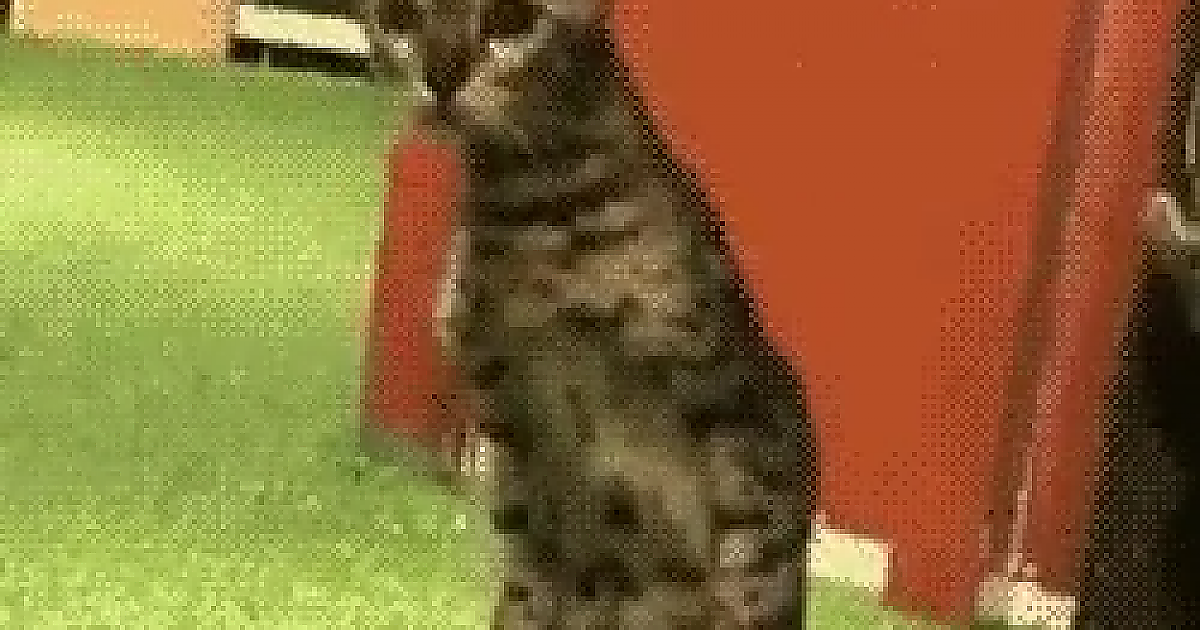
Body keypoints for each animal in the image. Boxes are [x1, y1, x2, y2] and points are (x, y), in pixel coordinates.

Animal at [360, 1, 819, 627]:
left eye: (511, 20)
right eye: (399, 16)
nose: (442, 77)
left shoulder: (737, 405)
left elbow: (752, 569)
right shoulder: (509, 421)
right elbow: (524, 582)